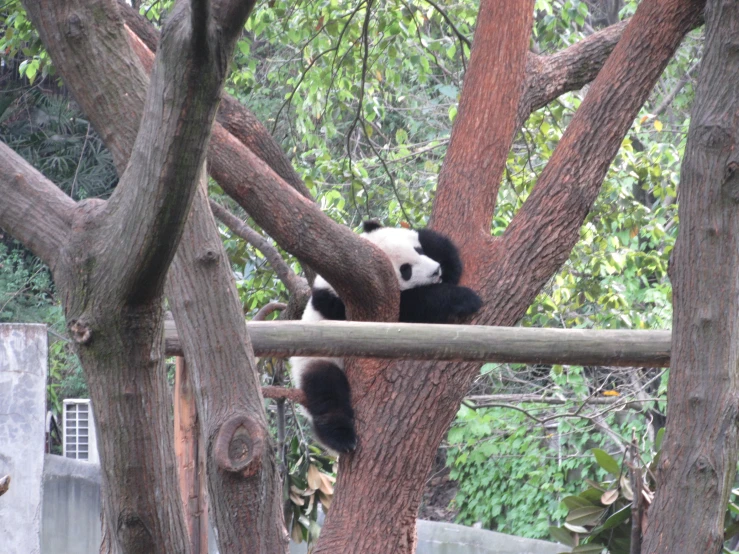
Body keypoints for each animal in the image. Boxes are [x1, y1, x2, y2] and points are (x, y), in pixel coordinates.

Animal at [290, 220, 486, 452]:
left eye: (418, 251)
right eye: (406, 271)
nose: (436, 271)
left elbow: (436, 241)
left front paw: (450, 266)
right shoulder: (347, 307)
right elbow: (412, 306)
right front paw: (463, 298)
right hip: (315, 359)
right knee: (326, 392)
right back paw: (341, 438)